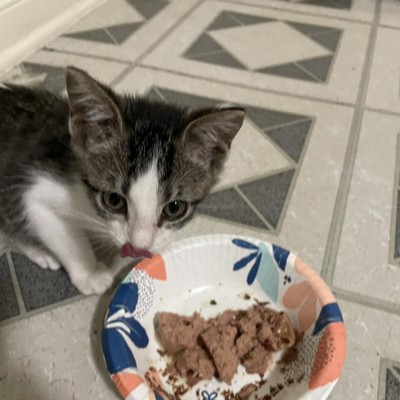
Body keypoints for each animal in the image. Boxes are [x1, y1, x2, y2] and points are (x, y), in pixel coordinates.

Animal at [0, 67, 244, 295]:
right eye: (113, 200)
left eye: (175, 208)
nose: (138, 247)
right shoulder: (35, 193)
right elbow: (68, 240)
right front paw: (90, 273)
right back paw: (40, 251)